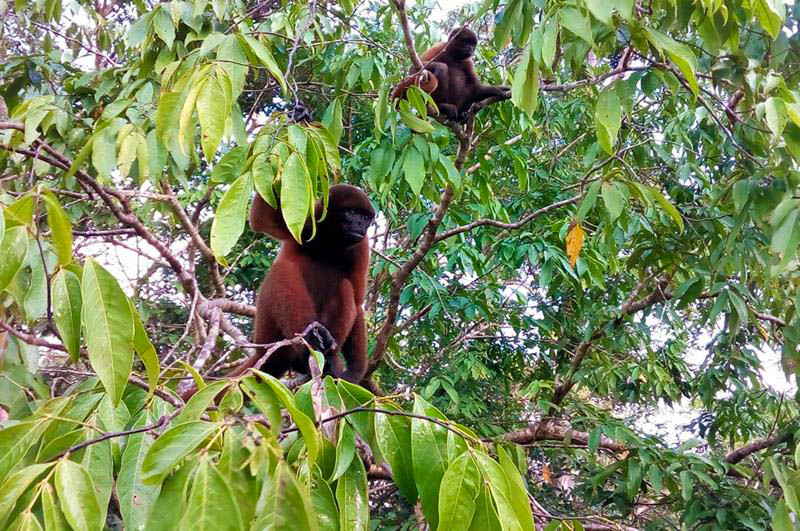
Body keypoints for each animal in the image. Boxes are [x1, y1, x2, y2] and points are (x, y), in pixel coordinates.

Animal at [227, 184, 375, 385]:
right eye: (352, 212)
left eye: (365, 217)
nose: (361, 224)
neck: (330, 241)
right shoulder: (306, 221)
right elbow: (260, 217)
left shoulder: (361, 245)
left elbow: (358, 300)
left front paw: (355, 371)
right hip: (266, 332)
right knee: (282, 270)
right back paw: (308, 341)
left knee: (346, 287)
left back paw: (327, 350)